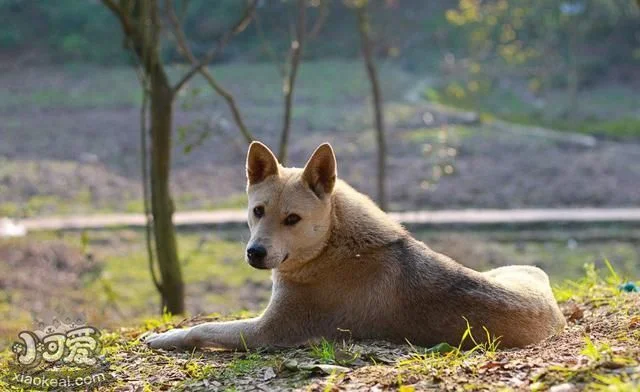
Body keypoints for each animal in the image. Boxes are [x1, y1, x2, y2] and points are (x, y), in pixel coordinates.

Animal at [145, 142, 564, 350]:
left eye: (292, 219)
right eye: (257, 211)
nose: (255, 253)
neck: (331, 245)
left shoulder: (268, 332)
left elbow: (201, 330)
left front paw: (161, 338)